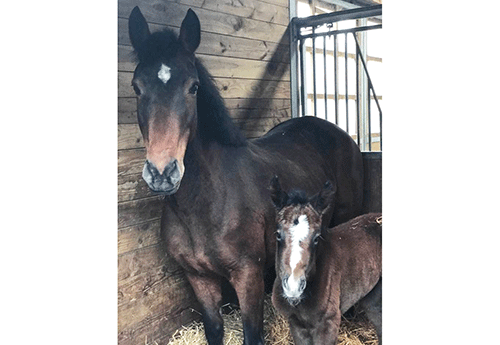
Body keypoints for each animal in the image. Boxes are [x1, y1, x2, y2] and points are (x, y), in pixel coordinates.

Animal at [129, 7, 364, 344]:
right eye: (136, 87)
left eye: (193, 87)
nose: (162, 172)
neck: (205, 202)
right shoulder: (198, 277)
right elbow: (214, 329)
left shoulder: (248, 275)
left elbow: (253, 333)